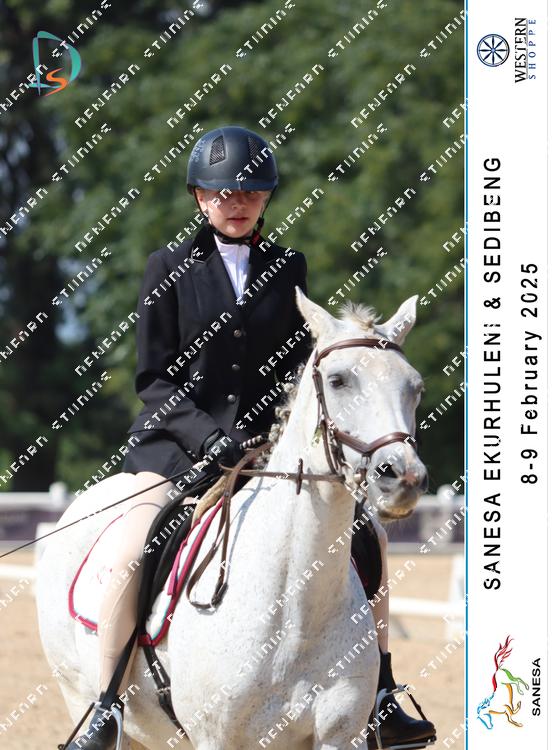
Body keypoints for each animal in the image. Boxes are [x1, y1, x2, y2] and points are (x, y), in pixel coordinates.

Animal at [36, 289, 428, 750]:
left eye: (415, 387)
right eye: (338, 381)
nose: (402, 477)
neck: (295, 610)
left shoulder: (340, 735)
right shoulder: (217, 737)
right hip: (75, 689)